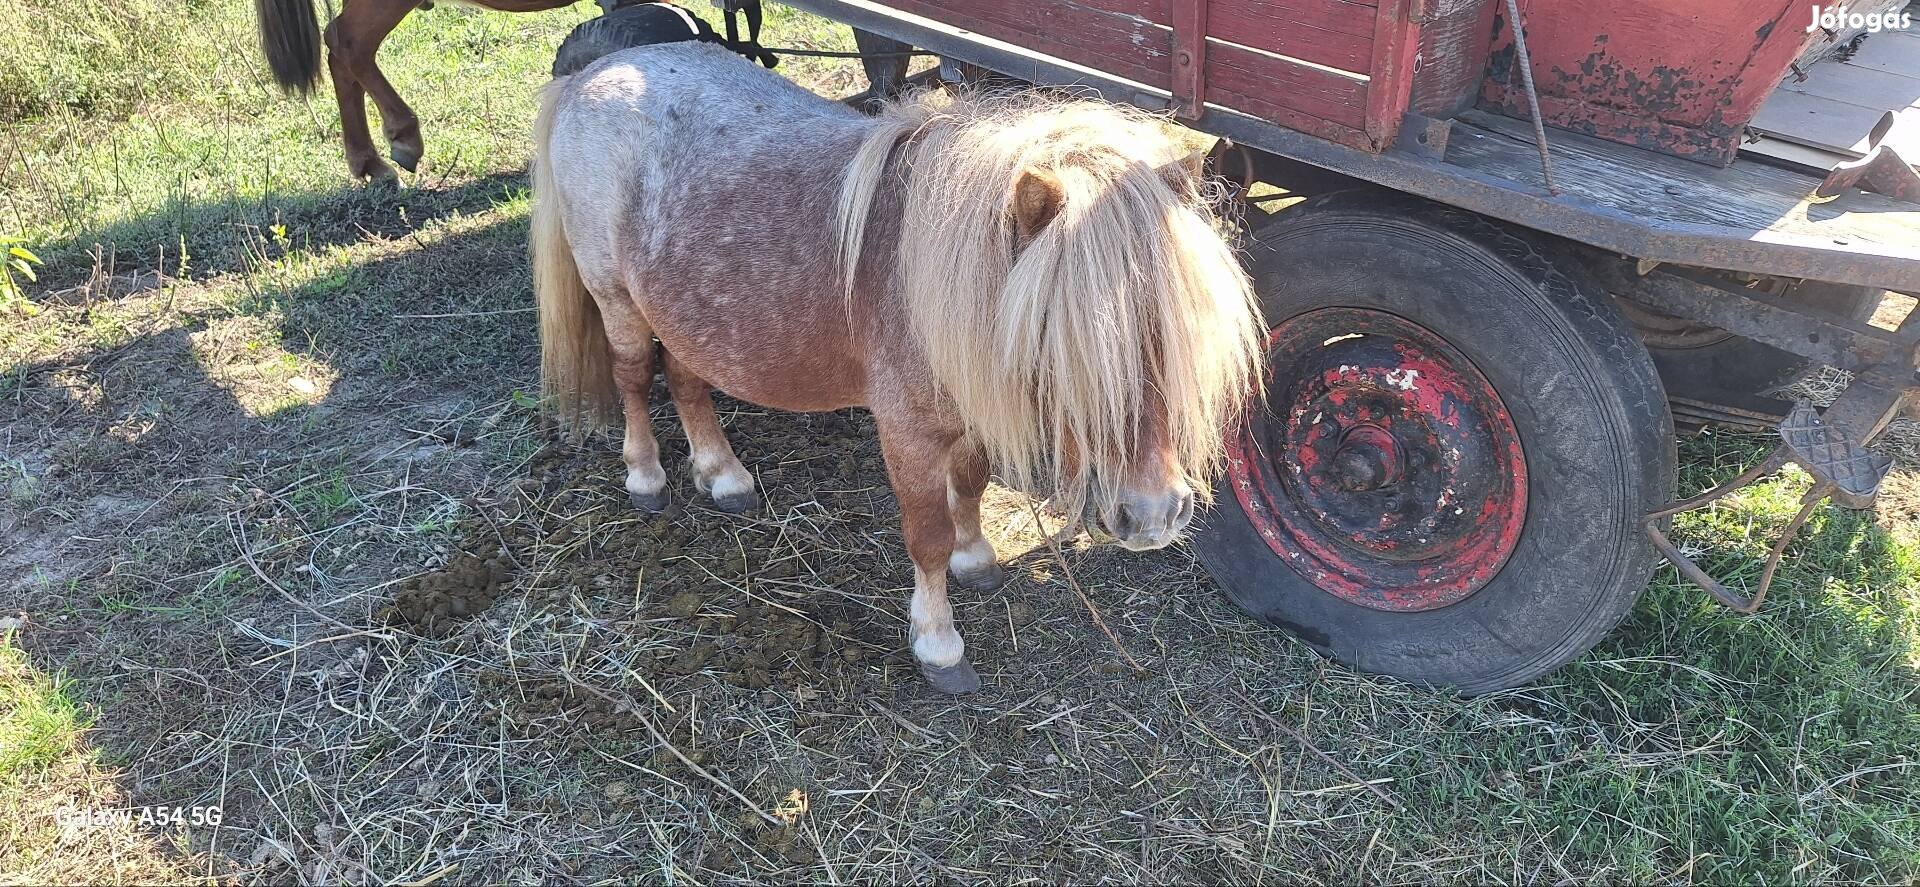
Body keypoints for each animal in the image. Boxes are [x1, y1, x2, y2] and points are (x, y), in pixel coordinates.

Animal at [533, 43, 1267, 691]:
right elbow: (927, 535)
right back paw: (646, 476)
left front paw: (977, 556)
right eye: (1064, 341)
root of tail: (590, 75)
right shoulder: (908, 432)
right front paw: (939, 643)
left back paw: (723, 474)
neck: (926, 280)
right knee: (634, 378)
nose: (1153, 515)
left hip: (686, 315)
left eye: (1176, 328)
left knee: (687, 382)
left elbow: (969, 487)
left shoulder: (969, 413)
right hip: (616, 299)